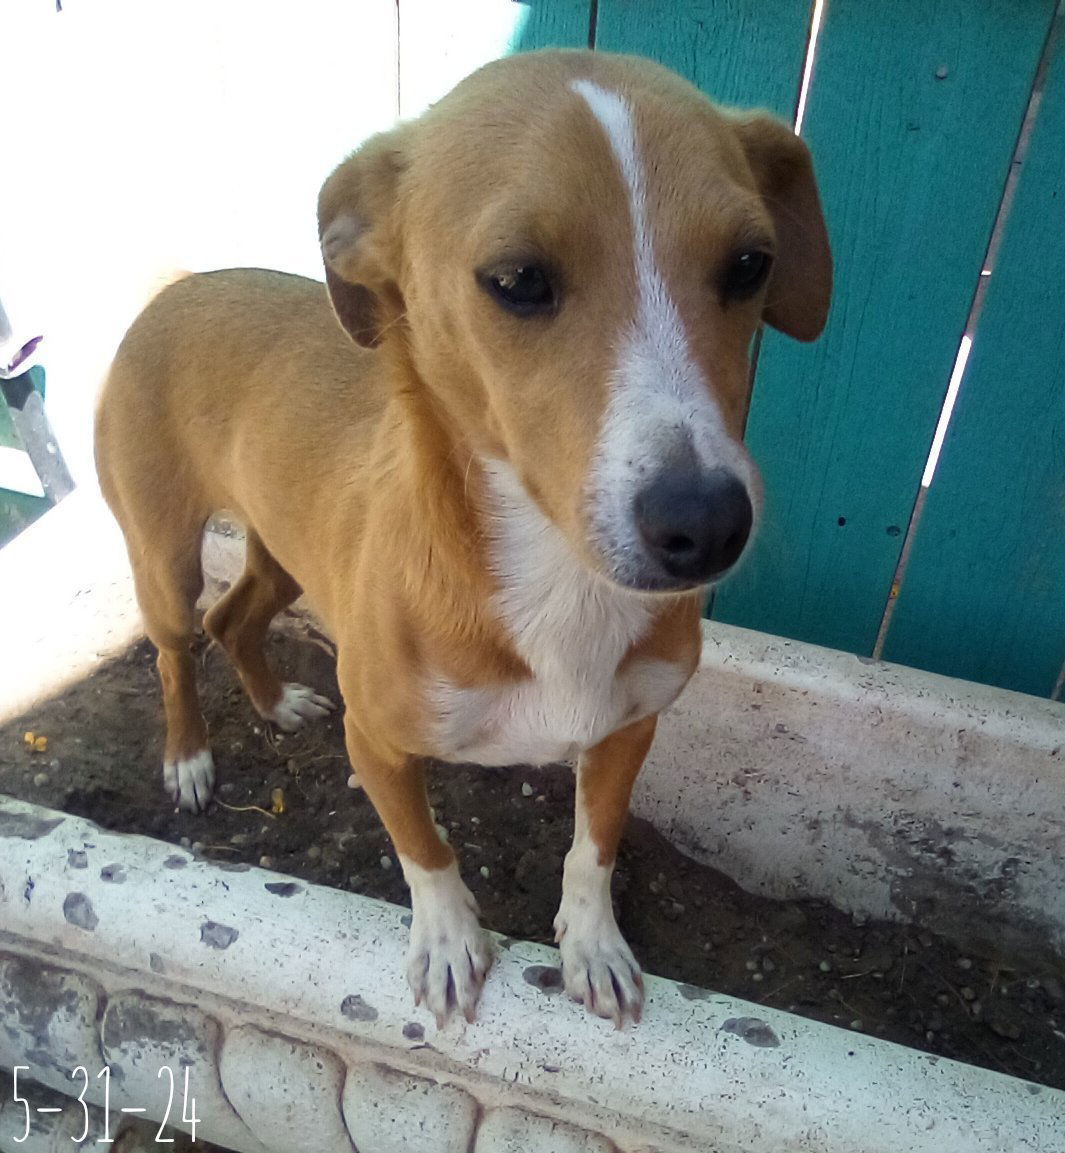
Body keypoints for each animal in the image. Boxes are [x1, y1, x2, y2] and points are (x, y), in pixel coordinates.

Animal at [93, 51, 829, 1028]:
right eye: (516, 279)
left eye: (750, 264)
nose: (706, 523)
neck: (556, 577)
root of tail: (182, 283)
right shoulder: (375, 742)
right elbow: (426, 849)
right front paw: (448, 944)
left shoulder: (627, 732)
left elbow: (592, 847)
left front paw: (592, 943)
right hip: (165, 556)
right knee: (177, 647)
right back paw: (188, 757)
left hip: (286, 557)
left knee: (234, 618)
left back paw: (275, 702)